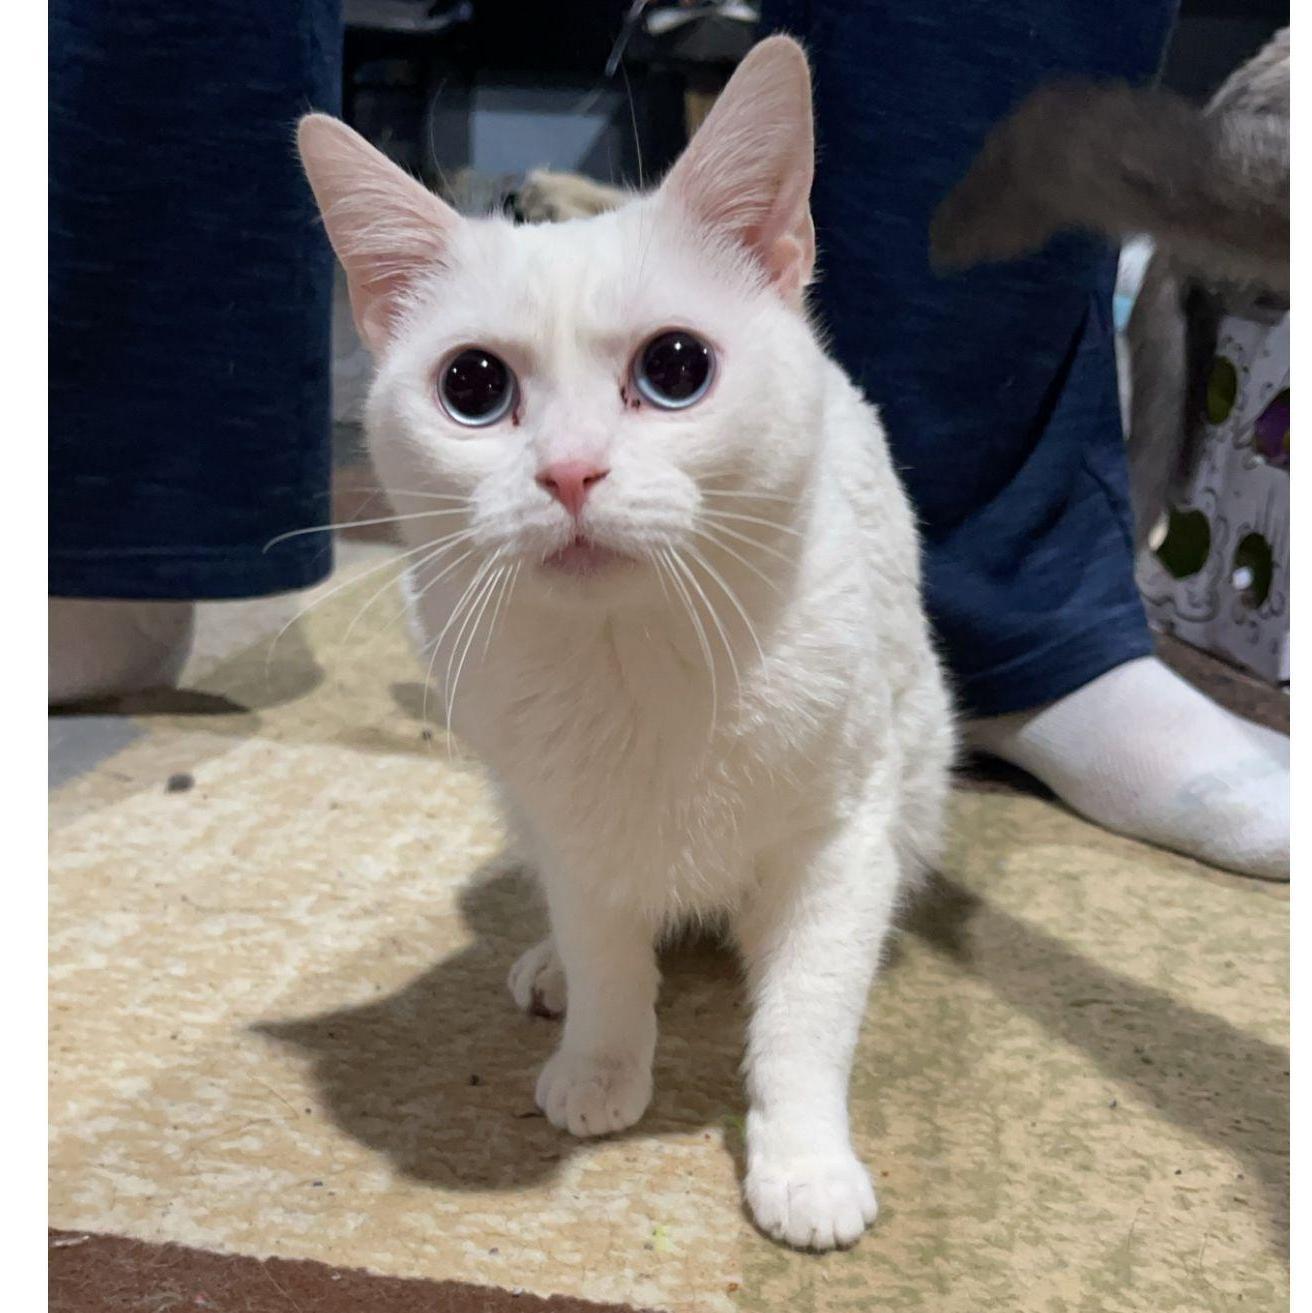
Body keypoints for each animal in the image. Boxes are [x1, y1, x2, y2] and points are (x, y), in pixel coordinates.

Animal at [298, 38, 956, 1249]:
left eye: (677, 368)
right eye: (472, 385)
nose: (569, 472)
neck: (630, 657)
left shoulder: (839, 835)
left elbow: (805, 1012)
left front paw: (802, 1159)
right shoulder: (571, 826)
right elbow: (609, 953)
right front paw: (601, 1063)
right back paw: (553, 967)